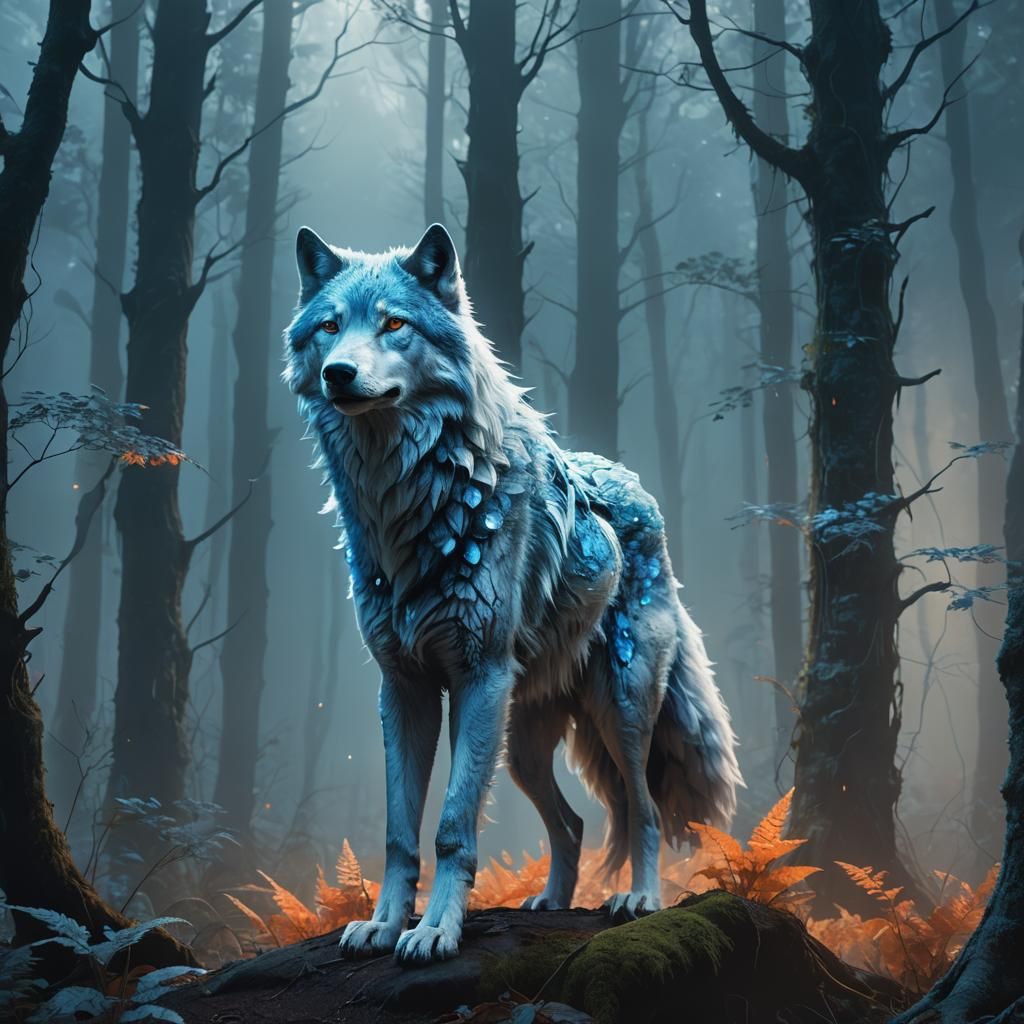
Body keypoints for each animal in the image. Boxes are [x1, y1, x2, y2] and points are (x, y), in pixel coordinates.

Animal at [283, 223, 742, 966]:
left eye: (393, 324)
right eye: (330, 327)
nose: (338, 374)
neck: (406, 506)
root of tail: (636, 486)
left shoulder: (476, 678)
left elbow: (451, 827)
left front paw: (434, 931)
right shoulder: (404, 689)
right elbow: (399, 832)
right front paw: (383, 925)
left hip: (616, 711)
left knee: (641, 809)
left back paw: (639, 899)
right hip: (521, 743)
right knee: (574, 823)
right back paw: (551, 902)